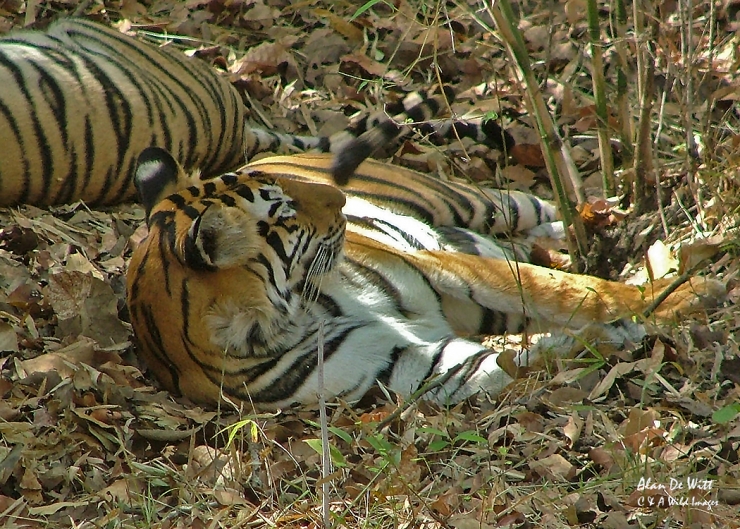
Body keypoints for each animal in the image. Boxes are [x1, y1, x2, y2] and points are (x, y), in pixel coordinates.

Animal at [126, 148, 724, 409]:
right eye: (283, 209)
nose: (340, 199)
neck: (291, 314)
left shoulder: (445, 269)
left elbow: (578, 291)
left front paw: (689, 296)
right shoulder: (407, 363)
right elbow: (516, 358)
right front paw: (609, 340)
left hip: (470, 201)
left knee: (541, 210)